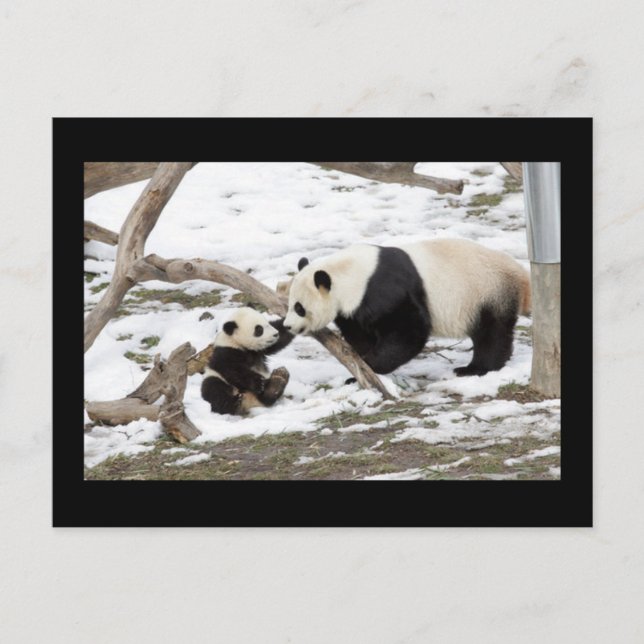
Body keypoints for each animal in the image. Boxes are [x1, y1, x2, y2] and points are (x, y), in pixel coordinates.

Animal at [283, 239, 531, 376]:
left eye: (299, 308)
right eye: (290, 304)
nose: (287, 326)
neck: (347, 272)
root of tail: (520, 276)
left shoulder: (384, 289)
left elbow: (409, 332)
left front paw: (370, 366)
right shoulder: (355, 306)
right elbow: (360, 333)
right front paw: (361, 362)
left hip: (487, 292)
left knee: (491, 333)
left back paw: (476, 368)